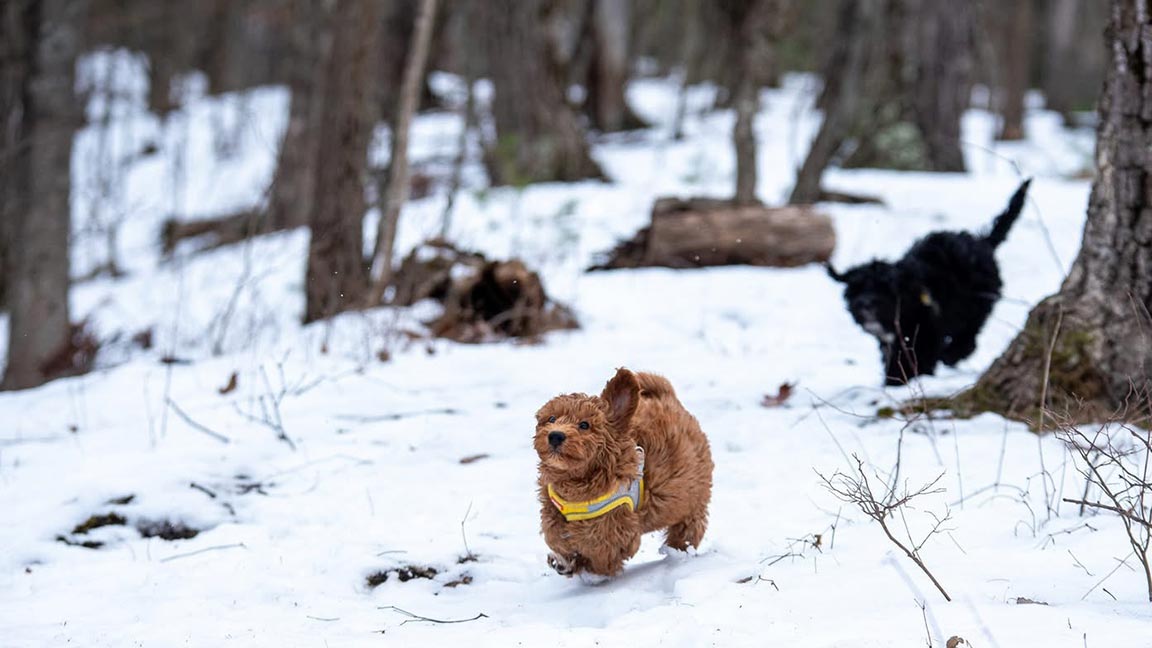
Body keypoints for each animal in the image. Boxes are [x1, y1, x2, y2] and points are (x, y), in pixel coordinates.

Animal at [829, 178, 1036, 382]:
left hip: (978, 303)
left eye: (884, 287)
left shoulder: (924, 333)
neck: (910, 295)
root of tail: (982, 242)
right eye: (856, 289)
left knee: (970, 334)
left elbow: (914, 359)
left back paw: (952, 354)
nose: (865, 303)